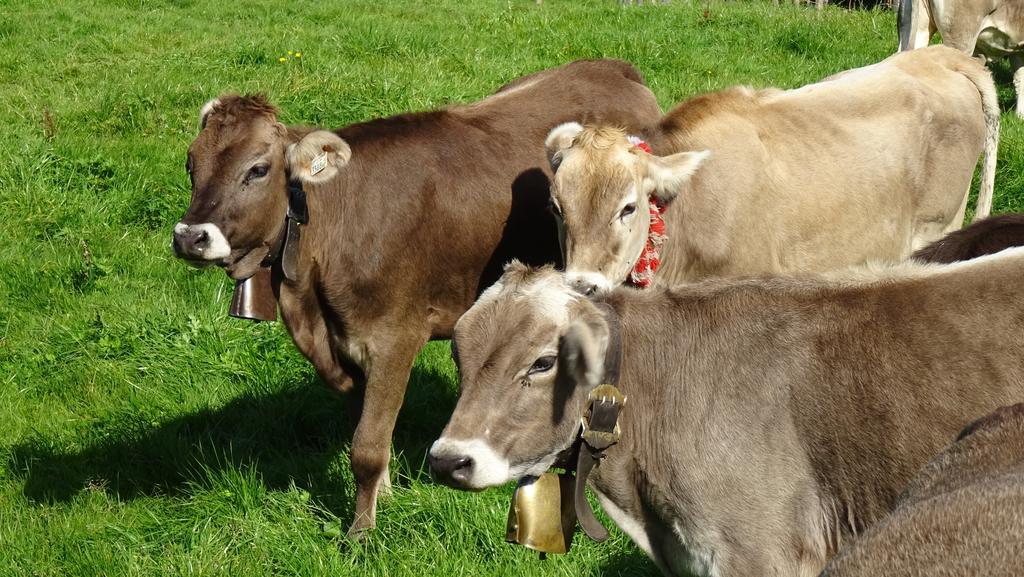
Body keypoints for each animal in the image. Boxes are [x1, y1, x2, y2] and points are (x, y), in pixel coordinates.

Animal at [169, 58, 663, 537]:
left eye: (257, 169)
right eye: (192, 165)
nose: (191, 237)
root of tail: (613, 67)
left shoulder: (394, 338)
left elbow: (366, 446)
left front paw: (361, 533)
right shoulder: (344, 345)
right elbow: (367, 425)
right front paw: (384, 494)